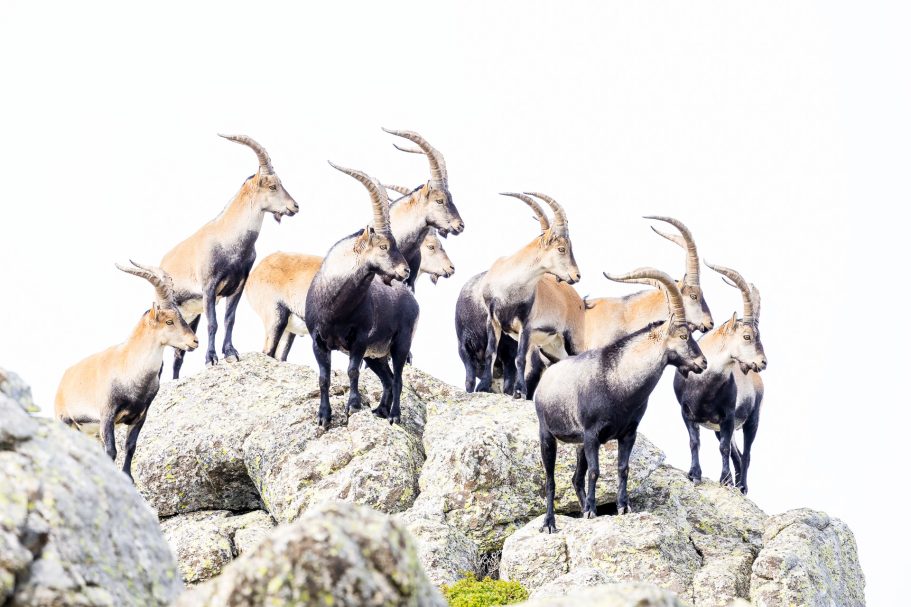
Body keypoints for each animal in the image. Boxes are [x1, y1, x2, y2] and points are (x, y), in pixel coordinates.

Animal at [55, 262, 198, 481]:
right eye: (169, 321)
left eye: (180, 316)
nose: (194, 341)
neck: (130, 369)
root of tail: (62, 382)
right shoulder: (107, 414)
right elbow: (112, 450)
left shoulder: (139, 416)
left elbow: (130, 447)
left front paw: (128, 478)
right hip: (66, 422)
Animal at [161, 134, 299, 378]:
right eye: (273, 185)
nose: (295, 206)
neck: (230, 241)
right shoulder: (209, 288)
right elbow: (213, 323)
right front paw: (211, 359)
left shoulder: (237, 287)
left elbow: (229, 320)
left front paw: (231, 353)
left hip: (190, 315)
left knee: (179, 354)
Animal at [305, 163, 418, 429]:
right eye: (384, 246)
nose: (405, 271)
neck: (335, 307)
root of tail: (412, 300)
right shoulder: (318, 341)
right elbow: (324, 377)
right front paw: (323, 416)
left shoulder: (360, 339)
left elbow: (352, 371)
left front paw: (353, 405)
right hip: (376, 356)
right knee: (387, 379)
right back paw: (380, 410)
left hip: (401, 343)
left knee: (398, 379)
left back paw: (394, 415)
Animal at [534, 268, 707, 531]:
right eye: (683, 334)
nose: (703, 363)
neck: (618, 382)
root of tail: (549, 369)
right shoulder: (592, 434)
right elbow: (595, 472)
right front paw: (592, 510)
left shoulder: (627, 433)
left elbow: (623, 468)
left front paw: (622, 507)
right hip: (547, 434)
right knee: (551, 480)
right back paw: (550, 523)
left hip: (578, 444)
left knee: (576, 478)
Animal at [673, 262, 766, 493]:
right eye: (747, 336)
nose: (763, 362)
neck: (704, 387)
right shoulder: (686, 413)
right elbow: (694, 442)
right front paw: (694, 474)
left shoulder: (728, 415)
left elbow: (723, 448)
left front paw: (725, 480)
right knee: (738, 455)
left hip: (752, 420)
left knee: (746, 454)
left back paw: (742, 487)